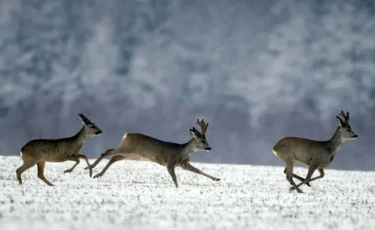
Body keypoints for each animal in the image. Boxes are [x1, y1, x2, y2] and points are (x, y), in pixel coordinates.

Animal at [87, 118, 220, 187]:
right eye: (202, 140)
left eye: (207, 140)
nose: (209, 148)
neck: (182, 151)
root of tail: (126, 135)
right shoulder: (170, 162)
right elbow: (174, 177)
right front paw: (177, 188)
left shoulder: (183, 164)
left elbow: (198, 170)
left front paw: (217, 178)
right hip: (127, 148)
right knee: (107, 151)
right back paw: (90, 169)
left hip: (132, 154)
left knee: (114, 157)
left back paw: (98, 174)